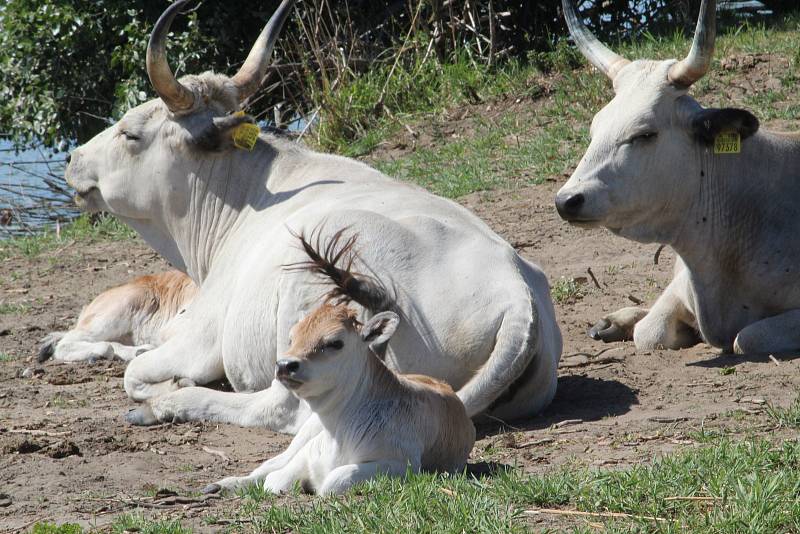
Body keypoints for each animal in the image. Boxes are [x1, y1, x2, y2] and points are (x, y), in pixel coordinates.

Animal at [203, 232, 476, 496]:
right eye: (292, 337)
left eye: (335, 342)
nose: (285, 365)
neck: (339, 433)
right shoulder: (307, 451)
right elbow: (274, 479)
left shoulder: (401, 464)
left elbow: (332, 481)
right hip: (304, 431)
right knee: (270, 464)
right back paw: (223, 484)